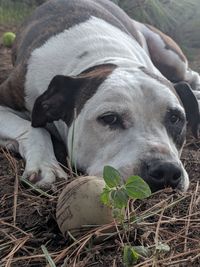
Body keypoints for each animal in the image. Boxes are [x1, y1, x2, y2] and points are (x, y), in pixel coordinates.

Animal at [0, 0, 200, 193]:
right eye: (110, 118)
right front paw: (45, 165)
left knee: (190, 75)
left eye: (175, 118)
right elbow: (34, 129)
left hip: (170, 56)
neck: (102, 56)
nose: (166, 170)